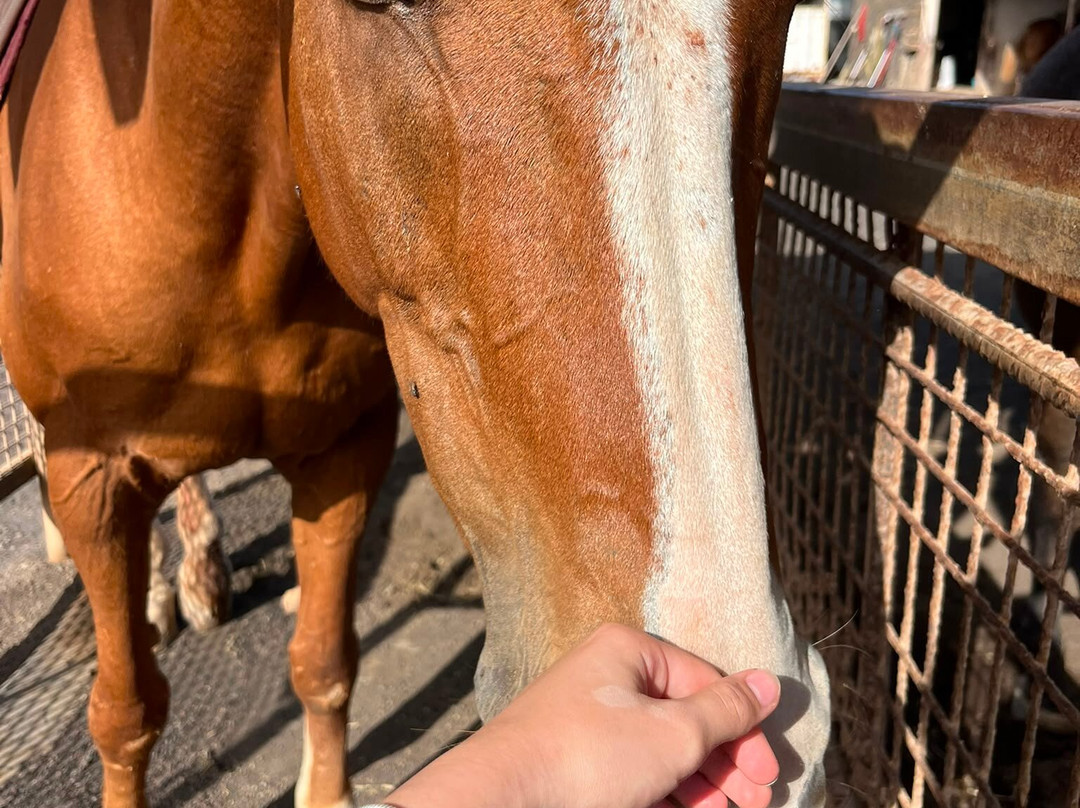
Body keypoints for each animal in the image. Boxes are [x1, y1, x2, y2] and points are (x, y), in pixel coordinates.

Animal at [2, 0, 831, 805]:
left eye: (786, 6)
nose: (761, 722)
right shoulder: (92, 478)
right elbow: (125, 716)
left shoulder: (343, 449)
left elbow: (324, 664)